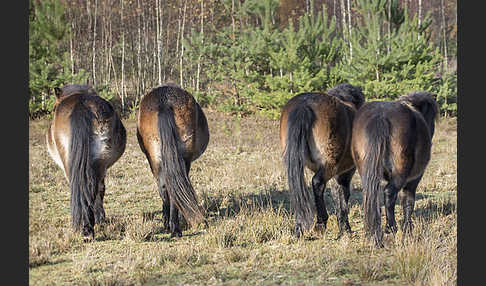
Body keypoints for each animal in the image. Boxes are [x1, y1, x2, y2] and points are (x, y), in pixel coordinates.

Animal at [136, 83, 208, 237]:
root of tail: (164, 103)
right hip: (182, 160)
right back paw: (173, 227)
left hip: (157, 159)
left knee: (165, 187)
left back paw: (171, 226)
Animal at [280, 84, 366, 238]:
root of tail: (304, 104)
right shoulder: (345, 173)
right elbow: (343, 197)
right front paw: (346, 228)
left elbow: (337, 195)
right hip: (329, 165)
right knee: (317, 183)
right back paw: (320, 223)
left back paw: (299, 227)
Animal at [352, 91, 438, 246]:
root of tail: (381, 116)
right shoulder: (414, 179)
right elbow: (408, 201)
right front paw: (407, 227)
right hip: (400, 173)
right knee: (389, 193)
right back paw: (390, 227)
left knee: (371, 195)